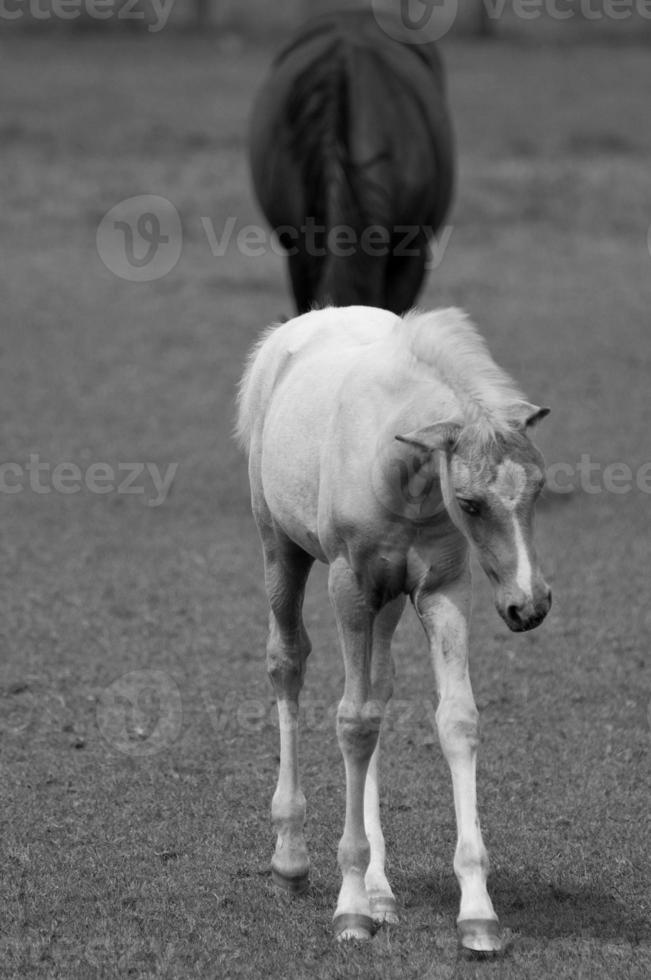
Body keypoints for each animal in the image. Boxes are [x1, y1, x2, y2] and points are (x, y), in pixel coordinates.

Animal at [237, 306, 552, 948]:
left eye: (538, 487)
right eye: (470, 502)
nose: (529, 606)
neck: (401, 471)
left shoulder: (442, 589)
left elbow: (454, 720)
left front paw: (477, 912)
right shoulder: (351, 586)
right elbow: (354, 723)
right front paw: (350, 906)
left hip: (386, 601)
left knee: (378, 690)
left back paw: (382, 890)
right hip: (281, 547)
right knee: (288, 663)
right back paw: (293, 862)